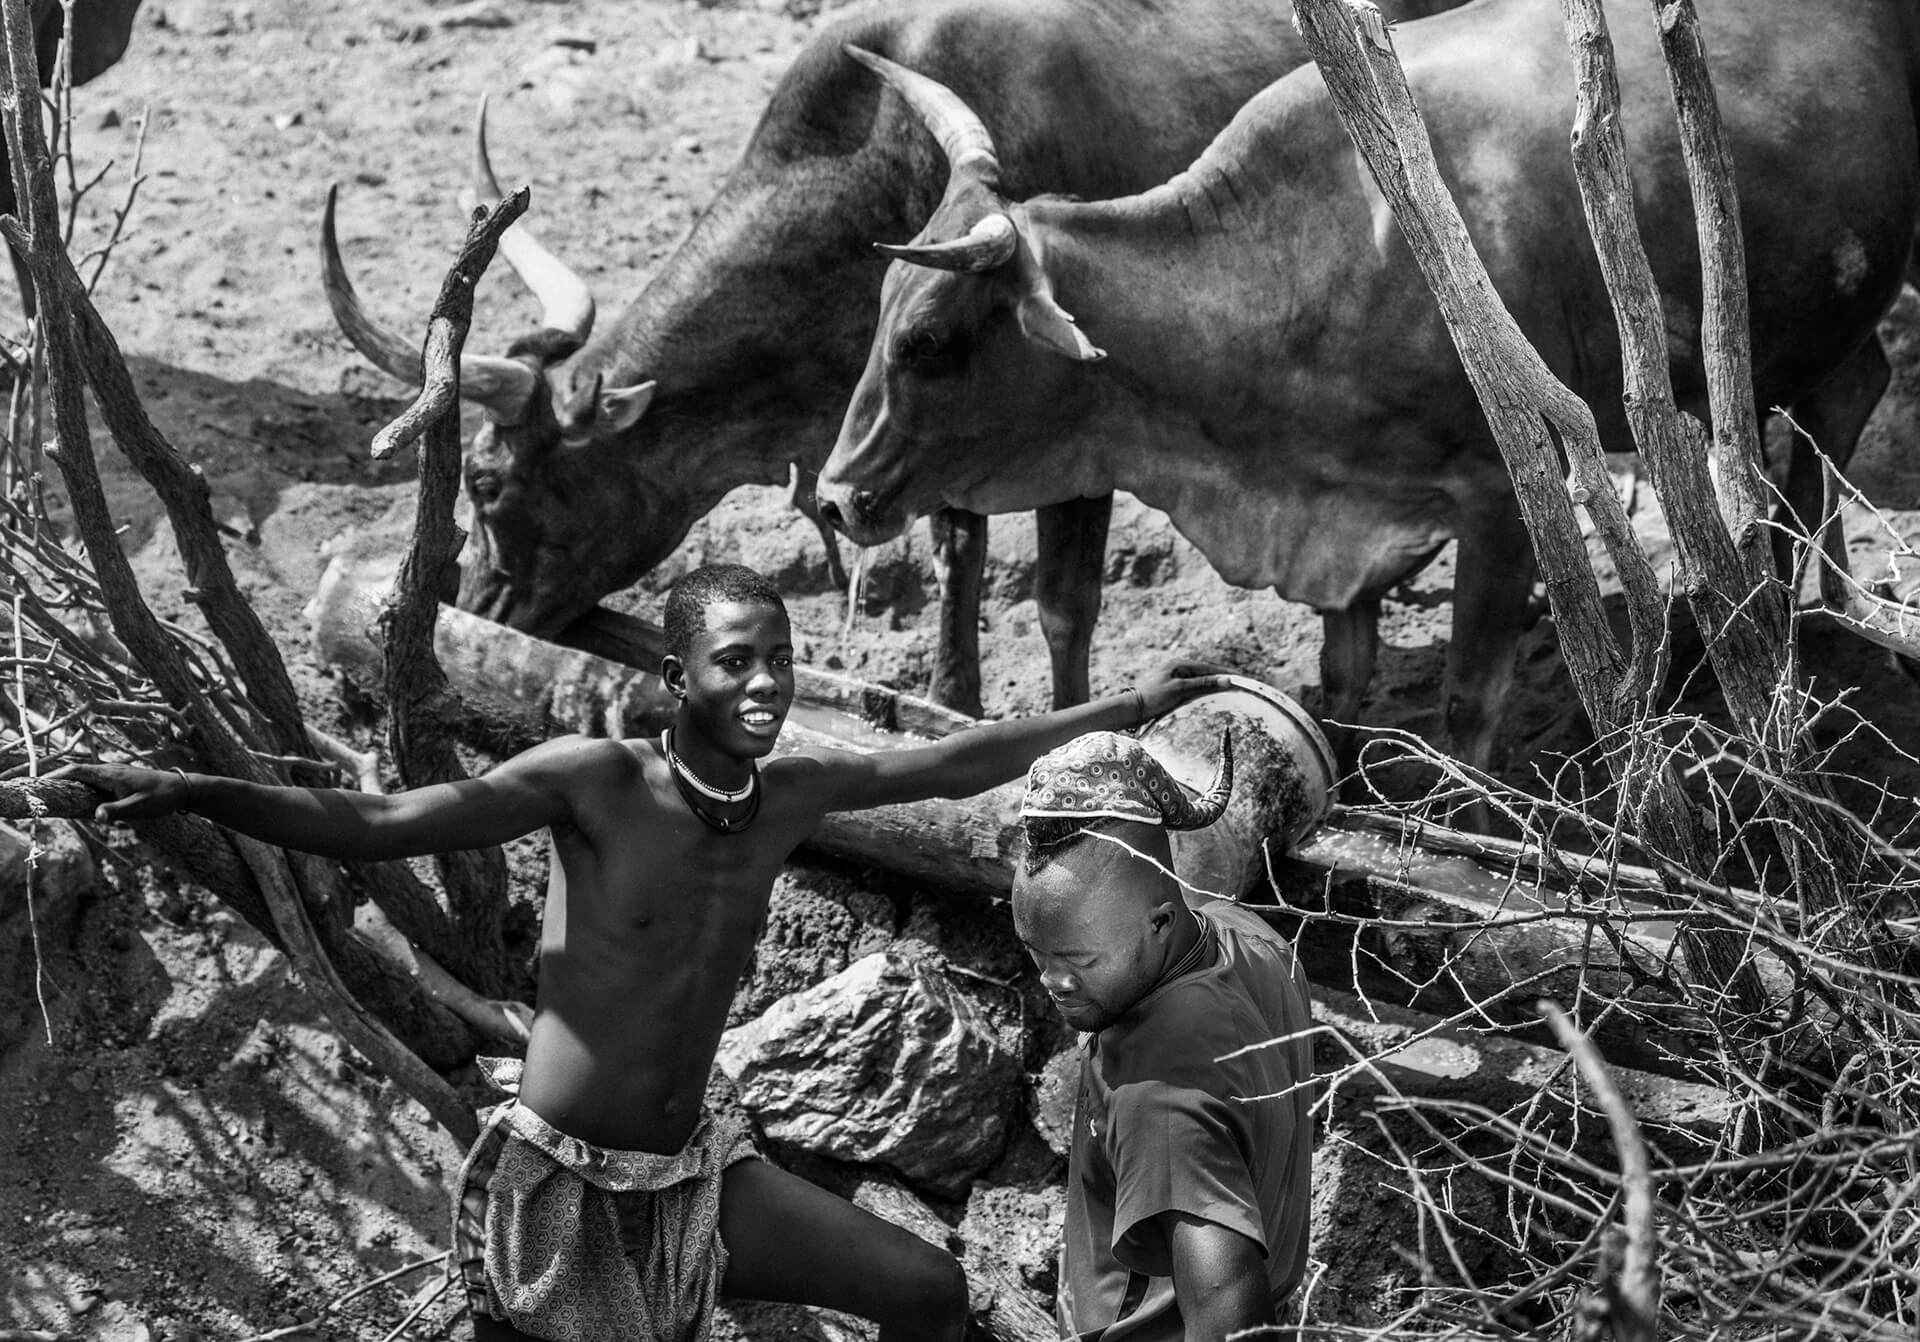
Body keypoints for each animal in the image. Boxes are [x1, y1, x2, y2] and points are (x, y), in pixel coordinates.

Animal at [314, 0, 1459, 718]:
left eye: (489, 480)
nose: (483, 610)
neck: (878, 159)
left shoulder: (1081, 437)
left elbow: (1063, 605)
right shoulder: (928, 433)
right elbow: (955, 558)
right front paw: (951, 699)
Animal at [814, 0, 1920, 775]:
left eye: (927, 339)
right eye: (878, 312)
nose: (836, 494)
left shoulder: (1502, 494)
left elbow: (1472, 699)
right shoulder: (1342, 513)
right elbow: (1341, 686)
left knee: (1839, 405)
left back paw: (1808, 627)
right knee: (1821, 410)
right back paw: (1787, 608)